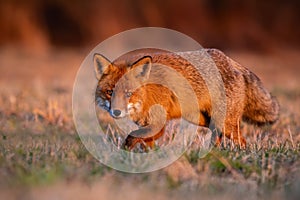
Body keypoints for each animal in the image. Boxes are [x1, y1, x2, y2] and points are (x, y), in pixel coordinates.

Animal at [94, 48, 278, 149]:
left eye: (128, 93)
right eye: (110, 92)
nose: (116, 112)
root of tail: (230, 60)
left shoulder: (157, 123)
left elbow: (132, 137)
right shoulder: (148, 125)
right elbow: (146, 143)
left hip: (225, 123)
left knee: (243, 141)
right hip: (202, 120)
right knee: (216, 136)